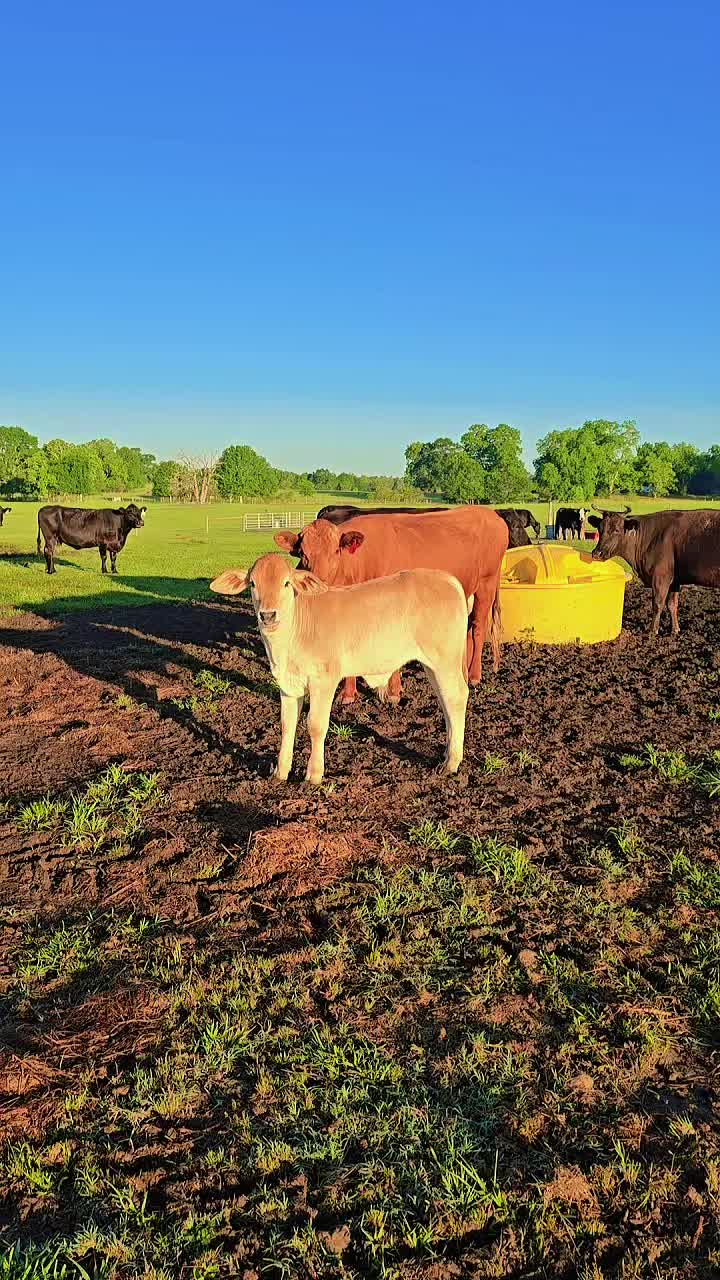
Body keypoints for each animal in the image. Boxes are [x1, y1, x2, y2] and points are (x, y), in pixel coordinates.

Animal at [210, 553, 469, 782]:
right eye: (253, 583)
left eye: (286, 583)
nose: (268, 615)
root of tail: (448, 579)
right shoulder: (288, 684)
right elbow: (287, 725)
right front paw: (280, 773)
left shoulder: (324, 679)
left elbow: (315, 724)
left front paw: (314, 775)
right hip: (432, 665)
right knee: (446, 701)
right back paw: (446, 754)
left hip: (445, 660)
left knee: (456, 697)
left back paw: (452, 762)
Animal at [273, 506, 508, 704]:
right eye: (302, 553)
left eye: (336, 551)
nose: (319, 584)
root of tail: (488, 513)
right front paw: (348, 694)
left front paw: (393, 692)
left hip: (486, 584)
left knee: (478, 627)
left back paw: (474, 675)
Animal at [591, 505, 720, 635]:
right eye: (599, 529)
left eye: (616, 530)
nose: (596, 553)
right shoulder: (674, 580)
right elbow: (672, 604)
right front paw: (675, 630)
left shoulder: (660, 577)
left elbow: (657, 604)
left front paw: (653, 630)